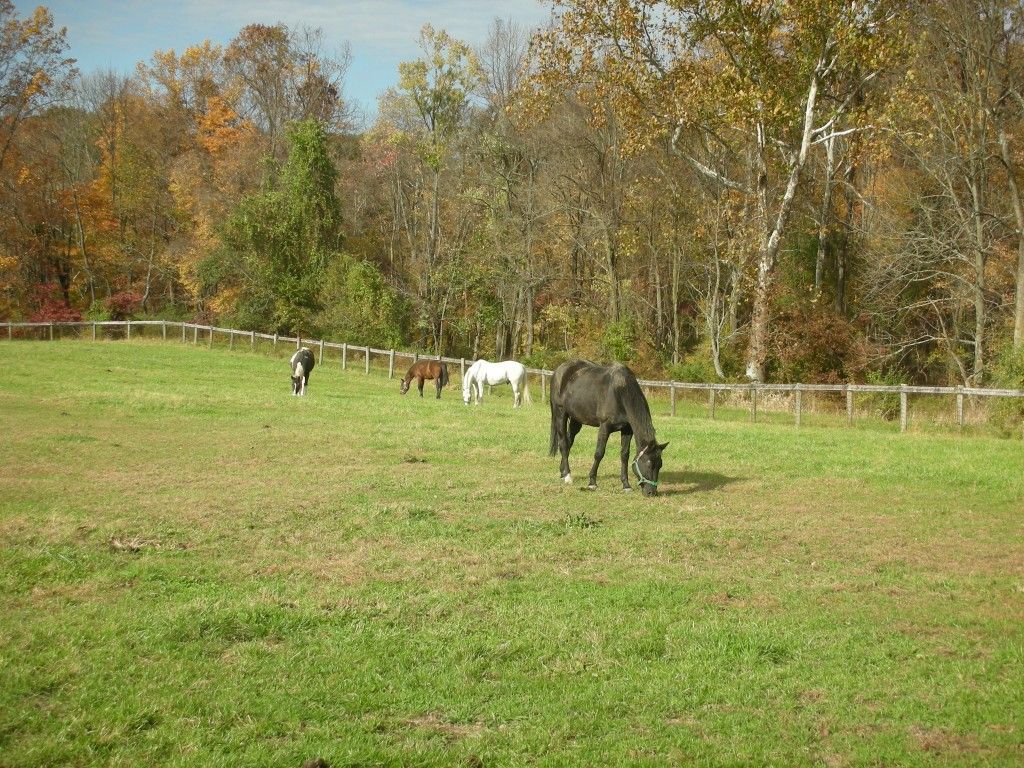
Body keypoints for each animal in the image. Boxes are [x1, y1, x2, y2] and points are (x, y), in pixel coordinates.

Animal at [548, 360, 667, 499]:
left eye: (660, 464)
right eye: (648, 463)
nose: (651, 493)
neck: (620, 392)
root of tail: (559, 370)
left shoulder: (627, 430)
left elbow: (624, 455)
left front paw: (626, 485)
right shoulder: (605, 427)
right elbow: (599, 453)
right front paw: (592, 483)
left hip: (576, 419)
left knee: (569, 442)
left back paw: (562, 473)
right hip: (560, 413)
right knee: (563, 443)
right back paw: (567, 476)